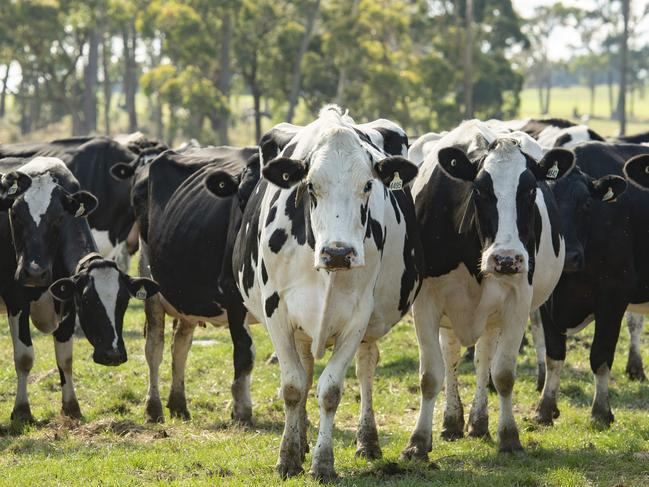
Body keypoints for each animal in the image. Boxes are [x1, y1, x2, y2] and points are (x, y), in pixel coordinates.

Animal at [0, 157, 158, 424]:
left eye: (124, 301)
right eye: (16, 215)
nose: (112, 354)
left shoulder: (65, 299)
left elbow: (65, 357)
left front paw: (71, 407)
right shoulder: (15, 298)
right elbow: (24, 356)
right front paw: (22, 411)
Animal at [112, 145, 260, 424]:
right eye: (241, 198)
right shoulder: (234, 296)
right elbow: (244, 354)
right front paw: (241, 412)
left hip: (187, 296)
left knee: (179, 345)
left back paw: (179, 404)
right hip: (150, 282)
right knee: (155, 347)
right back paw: (154, 407)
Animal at [227, 107, 420, 480]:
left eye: (368, 185)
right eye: (311, 186)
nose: (339, 253)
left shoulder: (357, 316)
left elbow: (330, 390)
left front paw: (323, 463)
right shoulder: (277, 312)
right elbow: (293, 387)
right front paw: (289, 457)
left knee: (366, 367)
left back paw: (367, 441)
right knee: (304, 370)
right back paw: (301, 439)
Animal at [400, 122, 576, 462]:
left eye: (530, 190)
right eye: (480, 190)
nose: (506, 258)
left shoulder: (517, 302)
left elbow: (503, 374)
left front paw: (509, 437)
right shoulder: (426, 302)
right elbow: (431, 375)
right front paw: (418, 442)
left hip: (493, 314)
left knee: (483, 358)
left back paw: (478, 422)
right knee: (452, 356)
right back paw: (452, 421)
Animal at [536, 140, 648, 428]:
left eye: (586, 204)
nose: (568, 256)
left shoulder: (614, 296)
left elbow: (600, 356)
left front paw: (600, 412)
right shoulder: (547, 299)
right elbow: (554, 355)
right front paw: (545, 408)